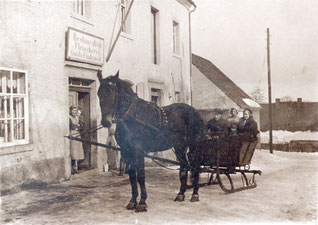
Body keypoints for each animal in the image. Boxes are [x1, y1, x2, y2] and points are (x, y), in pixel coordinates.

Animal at [96, 71, 204, 213]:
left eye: (112, 92)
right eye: (99, 93)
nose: (105, 122)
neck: (132, 116)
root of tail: (194, 111)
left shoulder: (139, 151)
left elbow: (141, 176)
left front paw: (142, 202)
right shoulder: (126, 151)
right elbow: (132, 175)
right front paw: (132, 201)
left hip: (194, 145)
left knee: (195, 166)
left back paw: (195, 194)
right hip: (179, 146)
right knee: (184, 166)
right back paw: (181, 194)